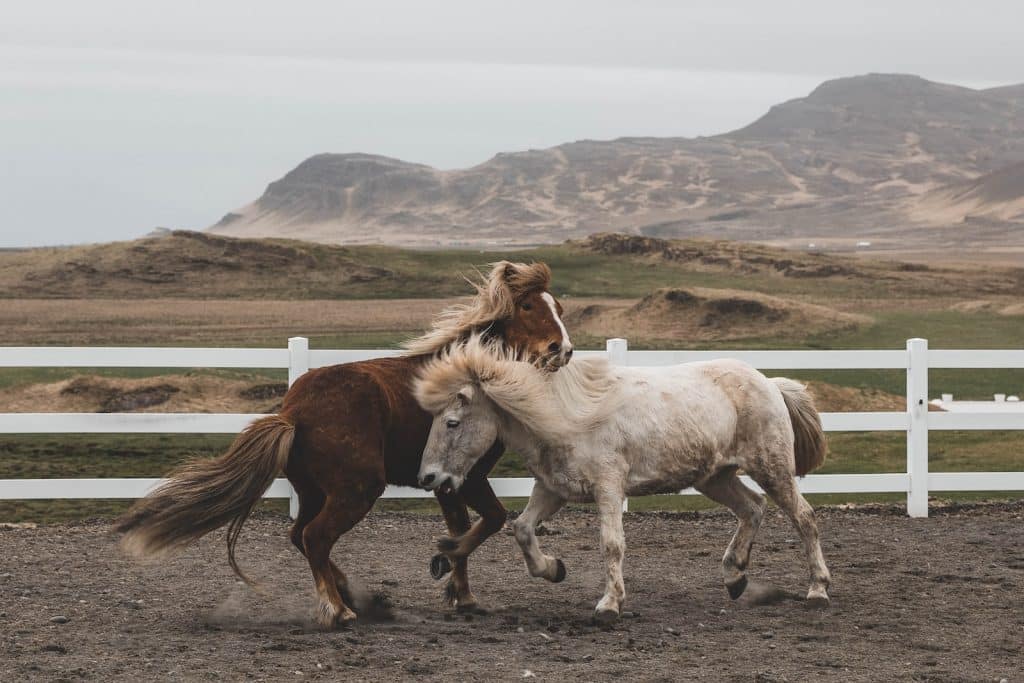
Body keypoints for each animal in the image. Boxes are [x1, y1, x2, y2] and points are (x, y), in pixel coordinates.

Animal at [117, 262, 577, 626]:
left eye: (559, 308)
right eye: (528, 306)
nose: (563, 349)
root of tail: (293, 413)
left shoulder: (446, 482)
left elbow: (462, 527)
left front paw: (460, 592)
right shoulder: (469, 476)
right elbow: (491, 520)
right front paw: (450, 563)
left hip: (315, 491)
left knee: (299, 535)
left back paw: (354, 595)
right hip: (358, 489)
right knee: (316, 536)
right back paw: (339, 609)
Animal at [413, 337, 831, 626]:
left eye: (452, 422)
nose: (428, 477)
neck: (566, 416)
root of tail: (771, 384)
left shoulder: (609, 487)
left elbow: (612, 544)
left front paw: (609, 604)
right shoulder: (553, 489)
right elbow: (522, 529)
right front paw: (554, 568)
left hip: (771, 469)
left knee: (804, 517)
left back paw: (818, 590)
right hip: (715, 477)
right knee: (752, 508)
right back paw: (735, 576)